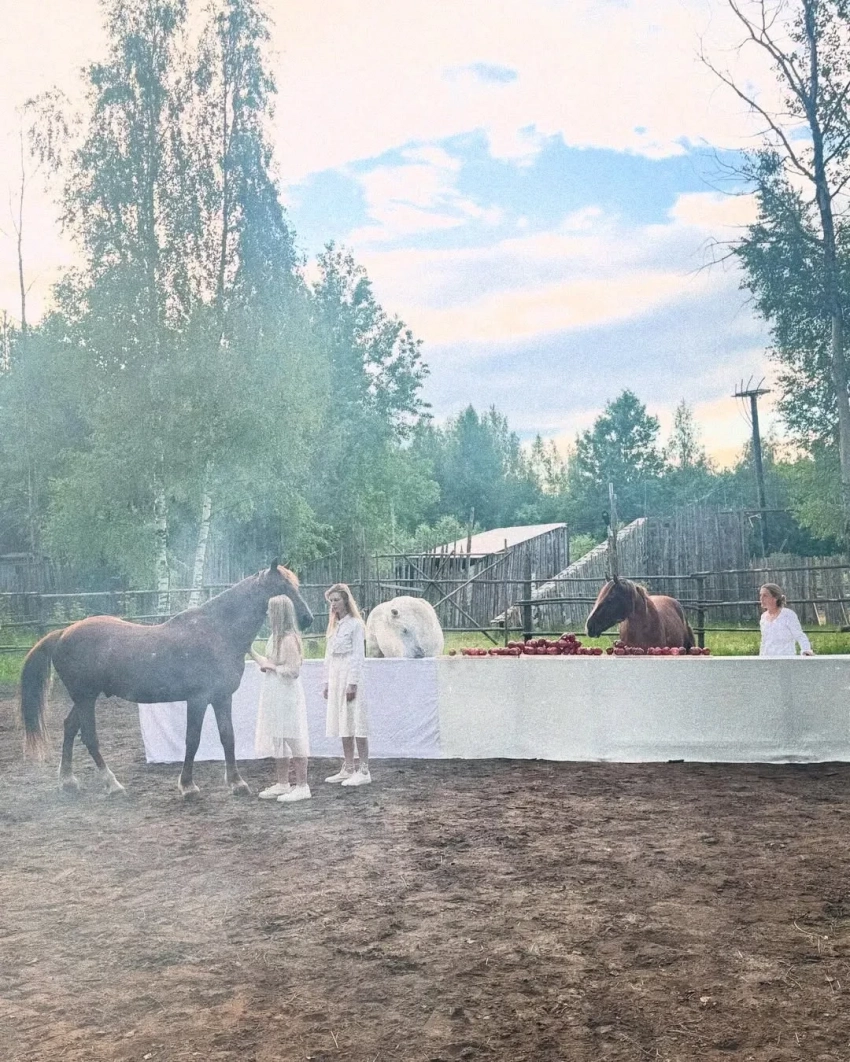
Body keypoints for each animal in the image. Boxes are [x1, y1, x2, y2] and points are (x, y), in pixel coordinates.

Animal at [20, 562, 313, 798]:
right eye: (282, 586)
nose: (308, 619)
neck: (218, 632)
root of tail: (62, 633)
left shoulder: (221, 698)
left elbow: (227, 737)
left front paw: (237, 783)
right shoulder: (198, 700)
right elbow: (192, 740)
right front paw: (188, 786)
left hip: (84, 699)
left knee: (69, 727)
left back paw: (68, 781)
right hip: (86, 698)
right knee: (89, 737)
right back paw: (112, 784)